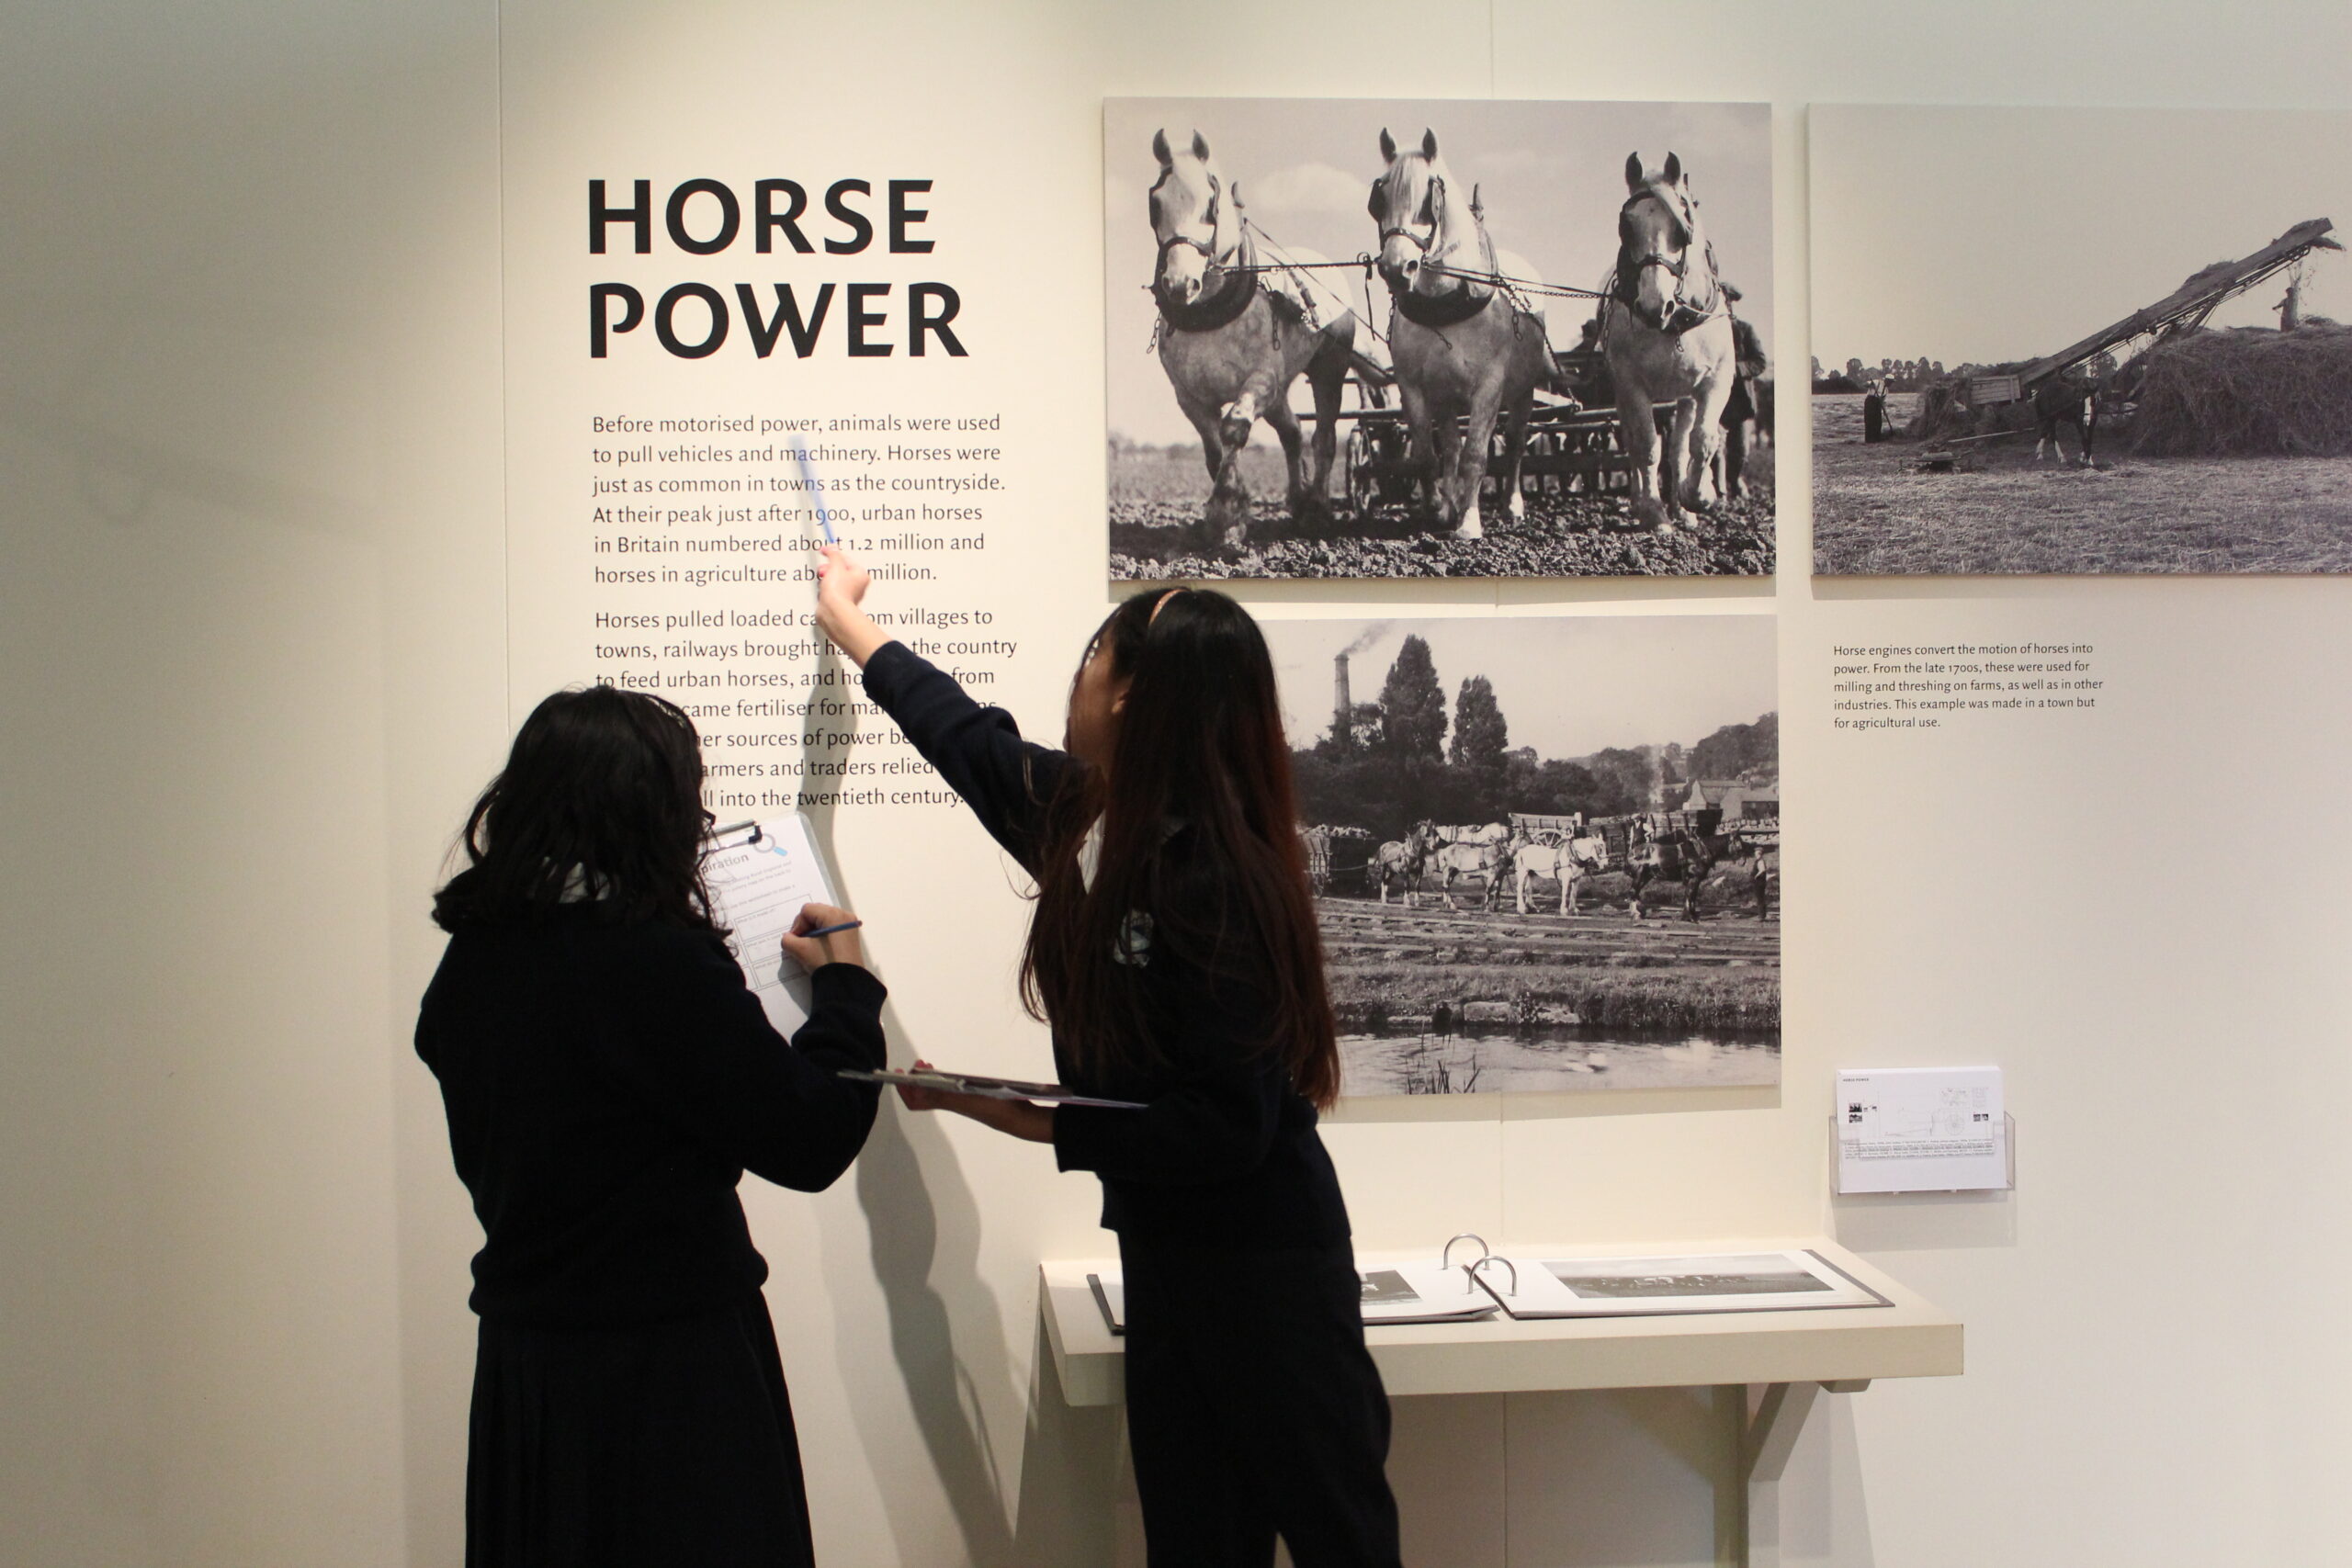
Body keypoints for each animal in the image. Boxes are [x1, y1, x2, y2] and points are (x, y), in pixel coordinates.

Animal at [1143, 131, 1363, 554]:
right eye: (1155, 202)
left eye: (1210, 203)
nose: (1179, 284)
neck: (1211, 310)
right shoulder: (1189, 397)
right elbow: (1213, 449)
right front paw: (1230, 512)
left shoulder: (1260, 380)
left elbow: (1234, 429)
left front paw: (1227, 515)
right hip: (1280, 393)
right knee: (1292, 432)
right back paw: (1298, 498)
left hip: (1328, 370)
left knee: (1324, 437)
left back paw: (1317, 508)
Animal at [1374, 125, 1552, 540]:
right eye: (1380, 196)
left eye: (1427, 199)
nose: (1396, 268)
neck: (1445, 305)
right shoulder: (1415, 387)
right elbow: (1428, 454)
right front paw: (1439, 508)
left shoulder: (1489, 387)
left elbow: (1475, 455)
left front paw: (1469, 522)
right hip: (1447, 397)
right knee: (1452, 447)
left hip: (1523, 391)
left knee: (1516, 443)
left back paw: (1511, 505)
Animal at [1609, 152, 1740, 533]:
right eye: (1627, 226)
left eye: (1682, 229)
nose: (1655, 306)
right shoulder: (1630, 383)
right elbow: (1646, 445)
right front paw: (1654, 512)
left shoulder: (1715, 380)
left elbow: (1702, 440)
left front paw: (1698, 495)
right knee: (1635, 445)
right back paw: (1641, 501)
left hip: (1683, 397)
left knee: (1681, 444)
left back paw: (1683, 506)